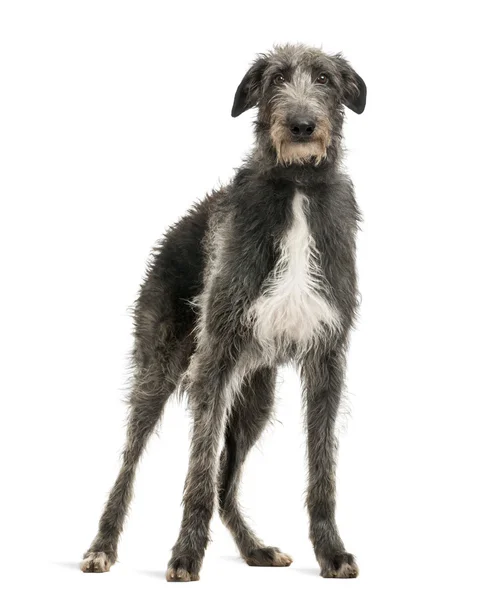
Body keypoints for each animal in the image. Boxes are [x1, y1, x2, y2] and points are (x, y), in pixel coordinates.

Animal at [81, 43, 366, 580]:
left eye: (324, 78)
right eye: (276, 79)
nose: (301, 126)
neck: (297, 186)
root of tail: (175, 228)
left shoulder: (328, 360)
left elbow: (323, 470)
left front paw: (332, 552)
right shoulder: (214, 359)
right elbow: (197, 471)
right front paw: (185, 556)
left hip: (256, 397)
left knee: (226, 483)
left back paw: (255, 549)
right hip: (161, 369)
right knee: (132, 463)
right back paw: (102, 546)